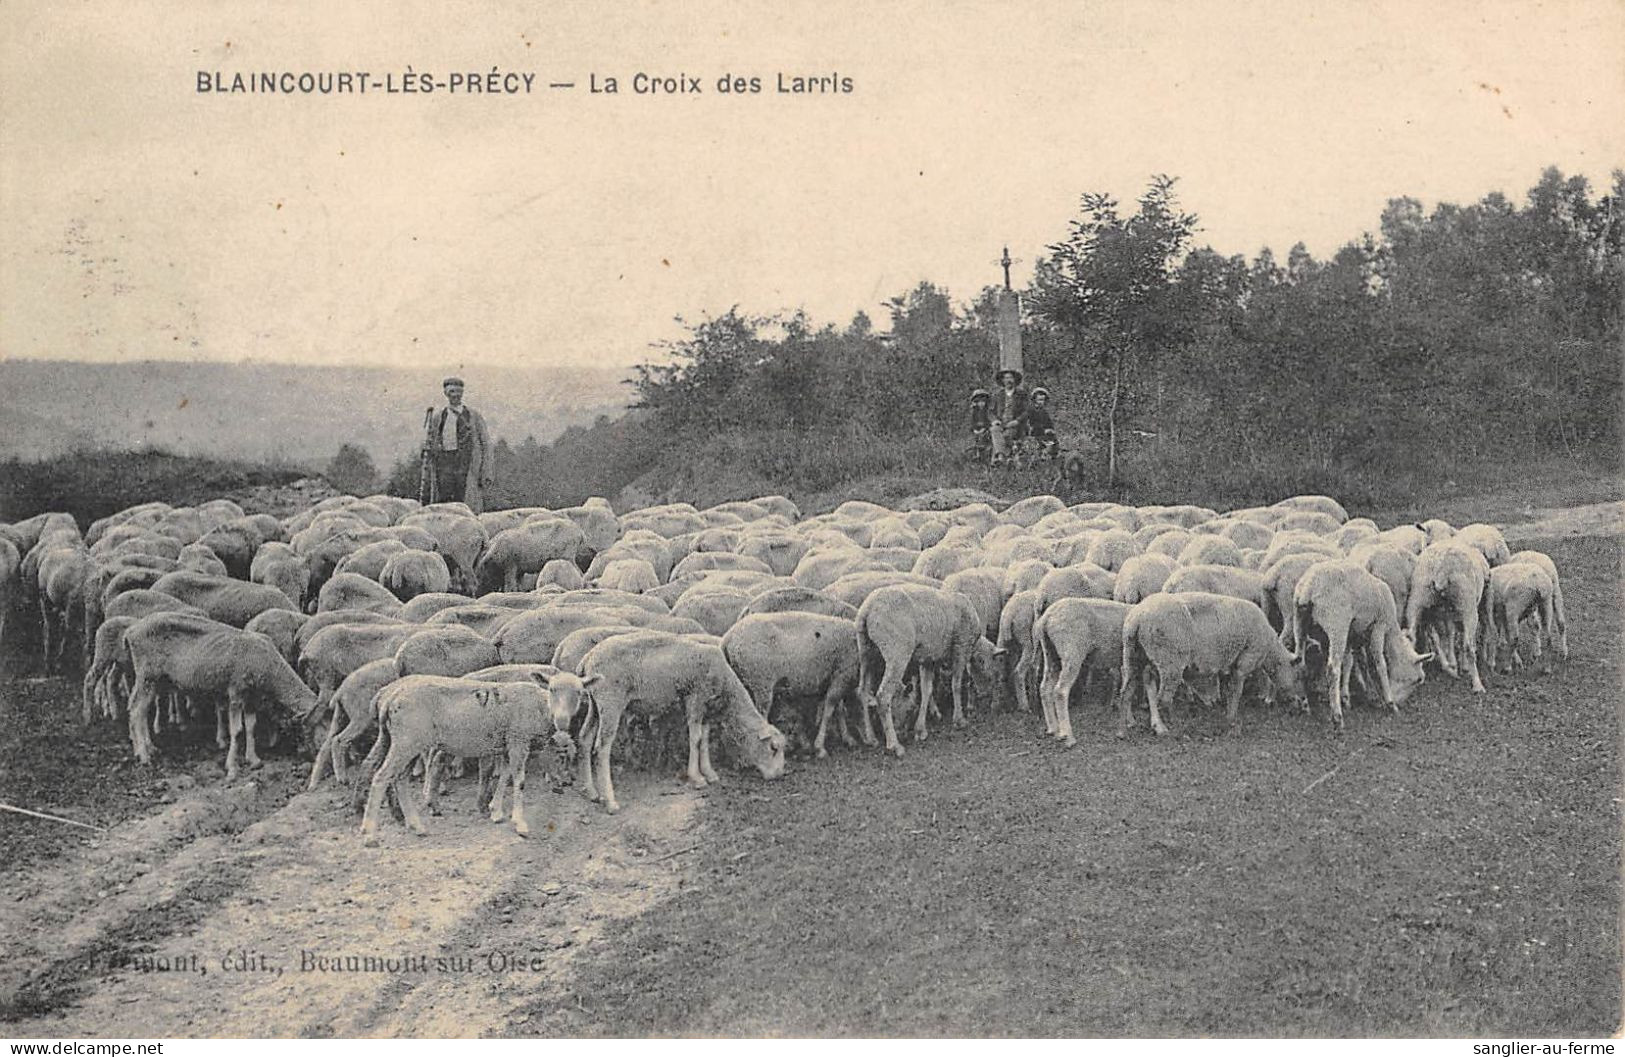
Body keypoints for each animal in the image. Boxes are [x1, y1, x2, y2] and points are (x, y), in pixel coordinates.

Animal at [578, 630, 786, 809]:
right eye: (773, 748)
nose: (778, 775)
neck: (726, 684)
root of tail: (588, 659)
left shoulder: (707, 707)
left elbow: (704, 740)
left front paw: (709, 773)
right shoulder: (695, 697)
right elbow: (695, 739)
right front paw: (697, 778)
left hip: (594, 704)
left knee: (585, 738)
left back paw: (592, 792)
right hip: (610, 701)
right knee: (602, 748)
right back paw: (610, 800)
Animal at [1118, 588, 1306, 738]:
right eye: (1298, 677)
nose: (1302, 704)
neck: (1270, 651)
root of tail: (1137, 618)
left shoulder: (1231, 664)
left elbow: (1229, 690)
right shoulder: (1245, 661)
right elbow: (1236, 692)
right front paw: (1231, 721)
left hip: (1134, 655)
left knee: (1130, 690)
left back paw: (1128, 726)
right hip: (1170, 661)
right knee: (1163, 698)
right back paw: (1171, 727)